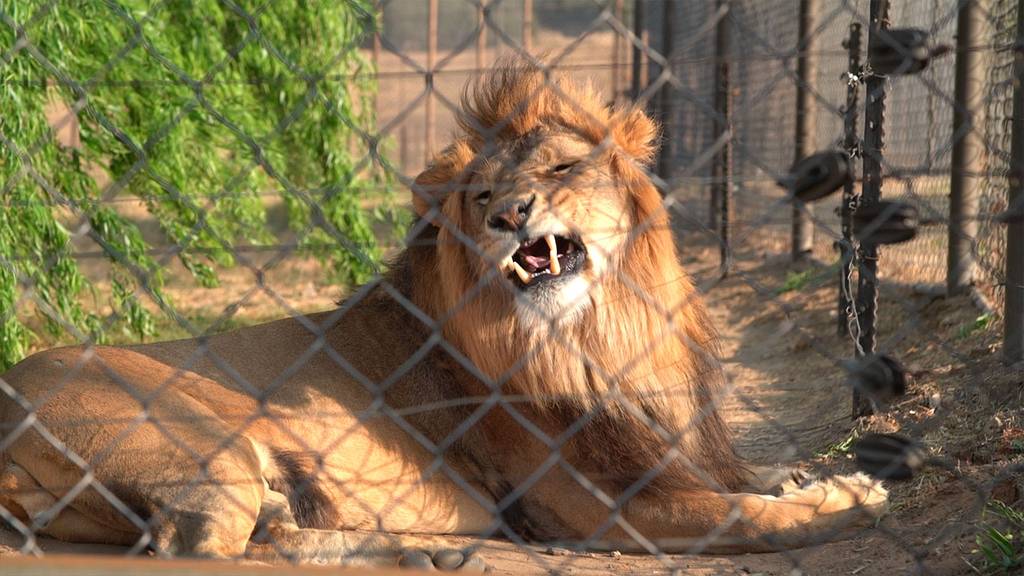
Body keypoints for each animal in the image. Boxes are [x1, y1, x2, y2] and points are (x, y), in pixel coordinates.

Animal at [0, 56, 884, 565]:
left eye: (559, 168)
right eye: (482, 196)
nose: (512, 215)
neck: (603, 331)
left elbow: (744, 479)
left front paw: (809, 476)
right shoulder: (610, 506)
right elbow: (746, 514)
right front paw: (840, 502)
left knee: (265, 530)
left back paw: (422, 552)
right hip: (201, 440)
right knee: (202, 546)